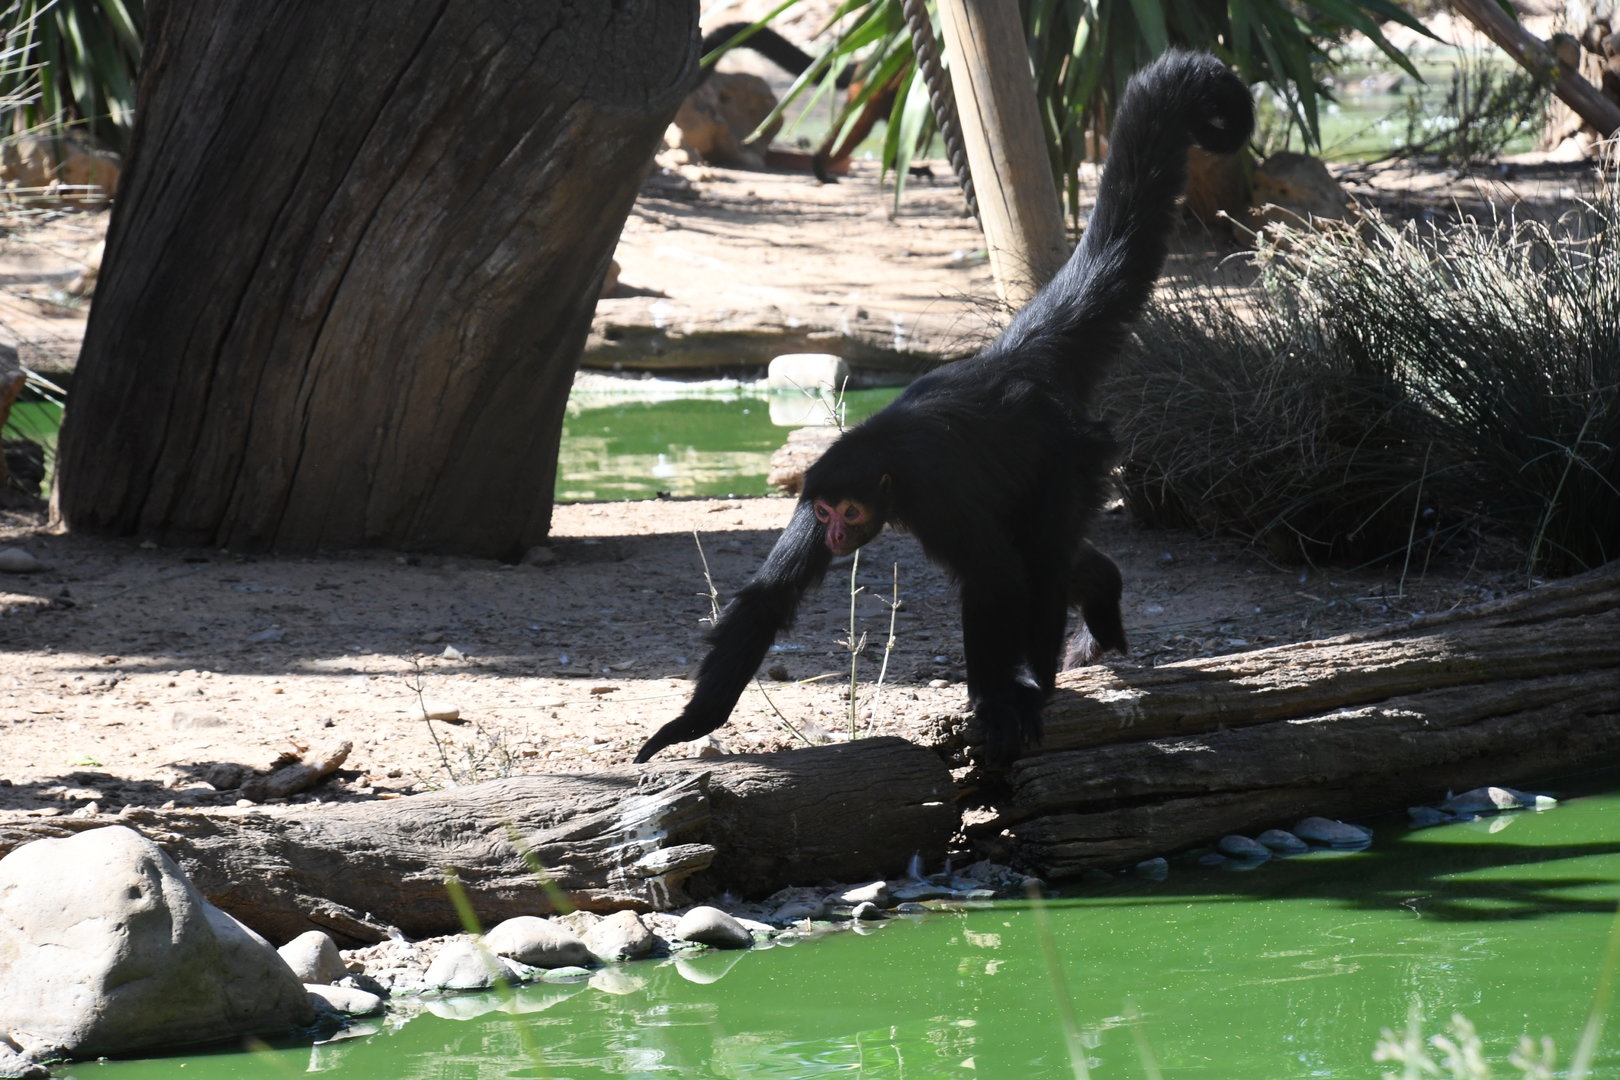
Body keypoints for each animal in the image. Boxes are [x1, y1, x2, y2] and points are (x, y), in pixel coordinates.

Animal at [636, 50, 1255, 765]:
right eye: (825, 513)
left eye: (850, 512)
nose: (838, 534)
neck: (883, 457)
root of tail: (1009, 361)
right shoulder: (814, 486)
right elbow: (771, 598)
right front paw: (689, 724)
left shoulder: (934, 493)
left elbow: (997, 577)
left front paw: (997, 700)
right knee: (1052, 551)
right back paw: (1100, 591)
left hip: (1072, 454)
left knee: (1037, 554)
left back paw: (1038, 678)